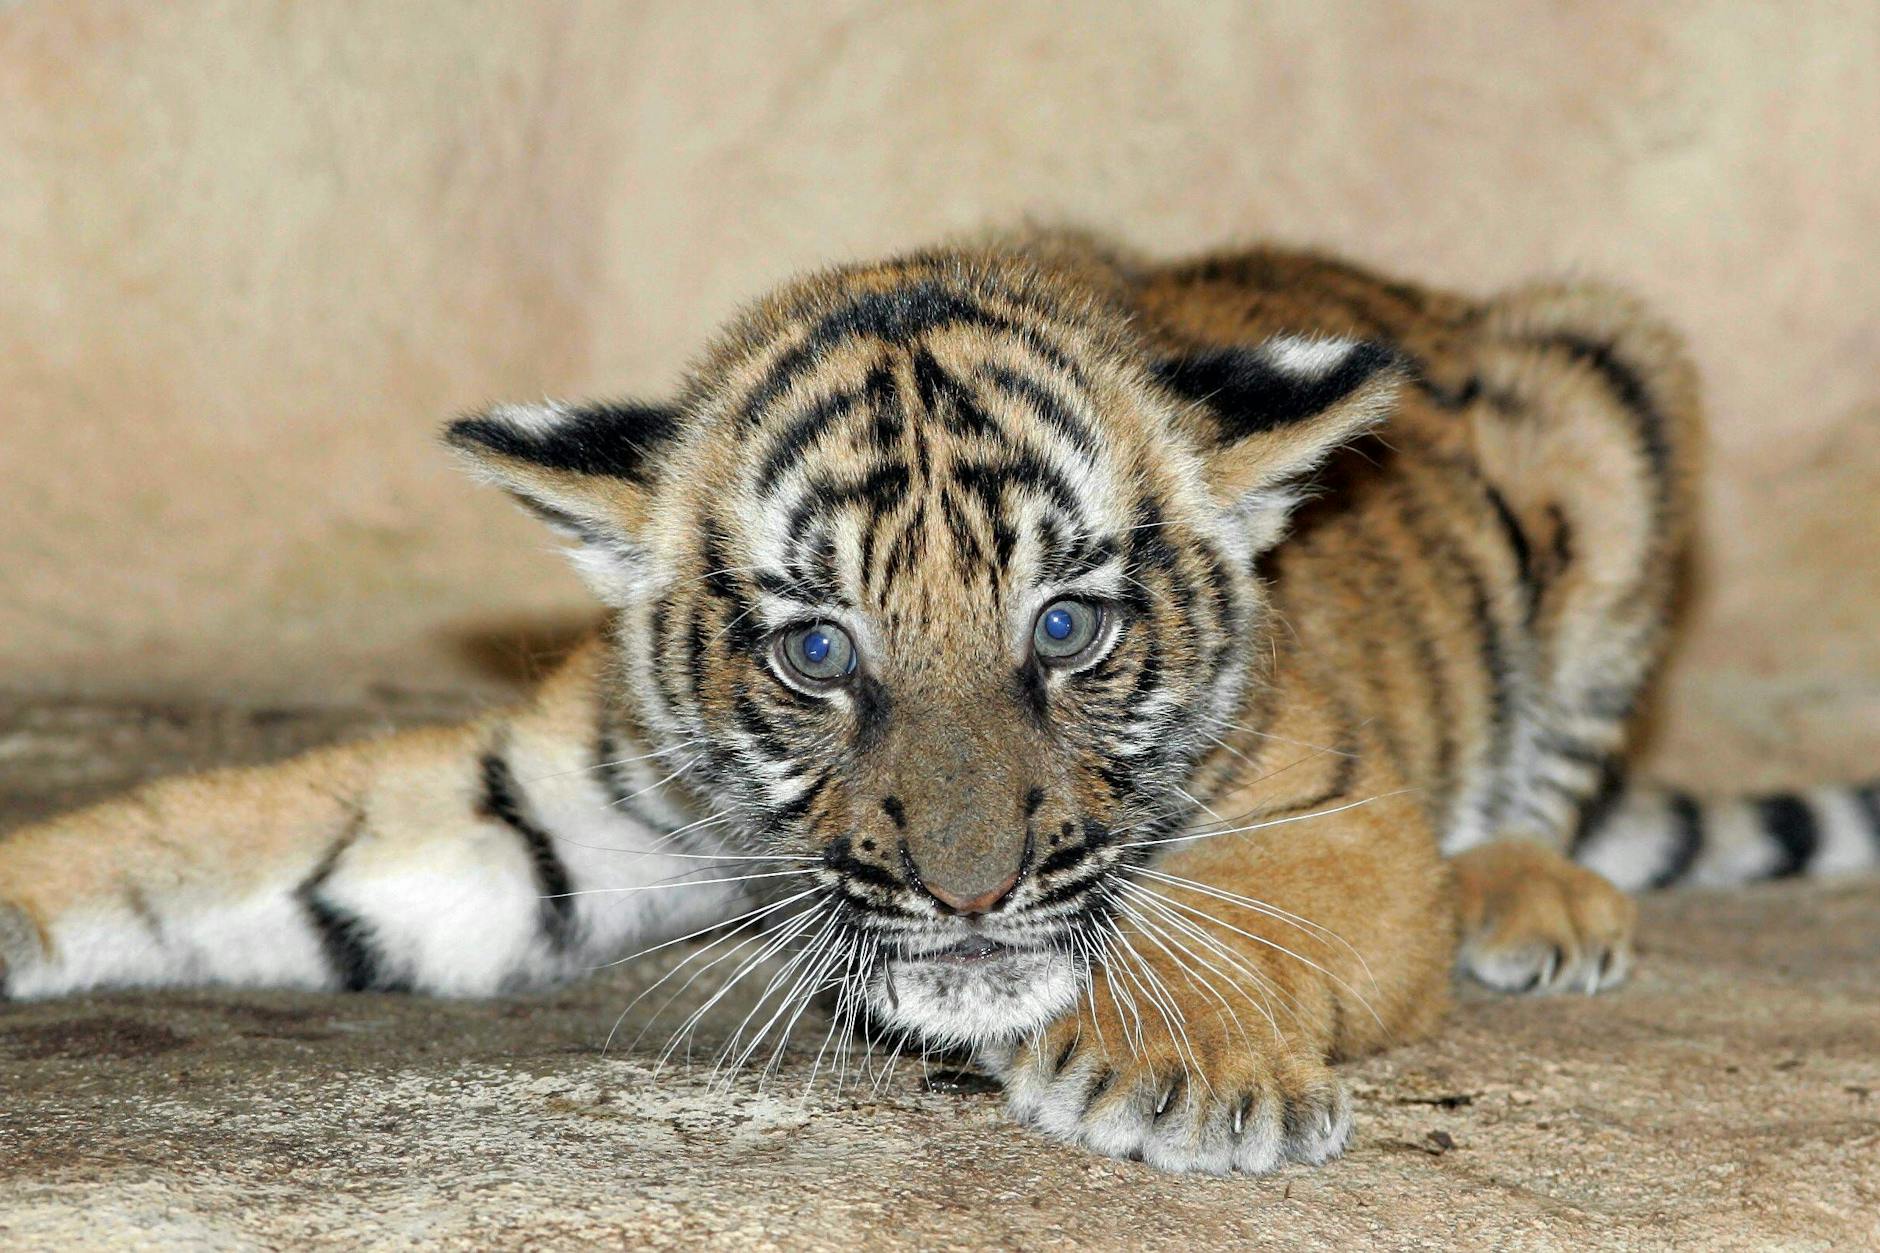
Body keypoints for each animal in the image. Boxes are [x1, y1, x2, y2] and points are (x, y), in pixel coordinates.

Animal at [2, 229, 1875, 1175]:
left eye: (1067, 625)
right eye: (820, 652)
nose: (968, 895)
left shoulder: (1343, 815)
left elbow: (1236, 914)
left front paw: (1173, 1065)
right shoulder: (545, 798)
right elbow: (201, 841)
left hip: (1615, 381)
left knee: (1548, 789)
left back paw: (1537, 899)